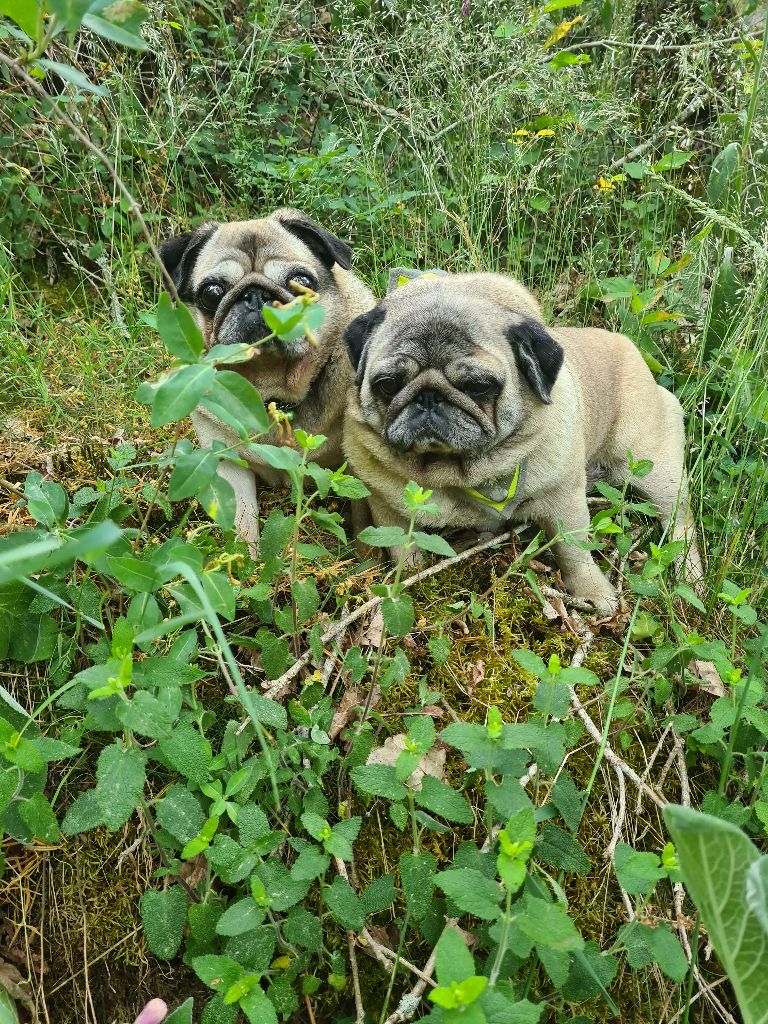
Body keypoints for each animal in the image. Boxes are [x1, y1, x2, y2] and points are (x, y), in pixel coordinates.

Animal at [157, 208, 374, 557]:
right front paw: (245, 564)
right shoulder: (228, 465)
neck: (272, 393)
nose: (256, 295)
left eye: (301, 282)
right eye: (211, 294)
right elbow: (241, 525)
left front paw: (371, 564)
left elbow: (367, 522)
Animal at [344, 272, 704, 610]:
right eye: (388, 384)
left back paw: (690, 576)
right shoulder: (386, 506)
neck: (452, 471)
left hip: (651, 467)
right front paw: (406, 580)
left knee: (679, 522)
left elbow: (574, 551)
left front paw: (592, 592)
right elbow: (401, 546)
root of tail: (626, 343)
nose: (428, 398)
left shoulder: (564, 502)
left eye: (479, 386)